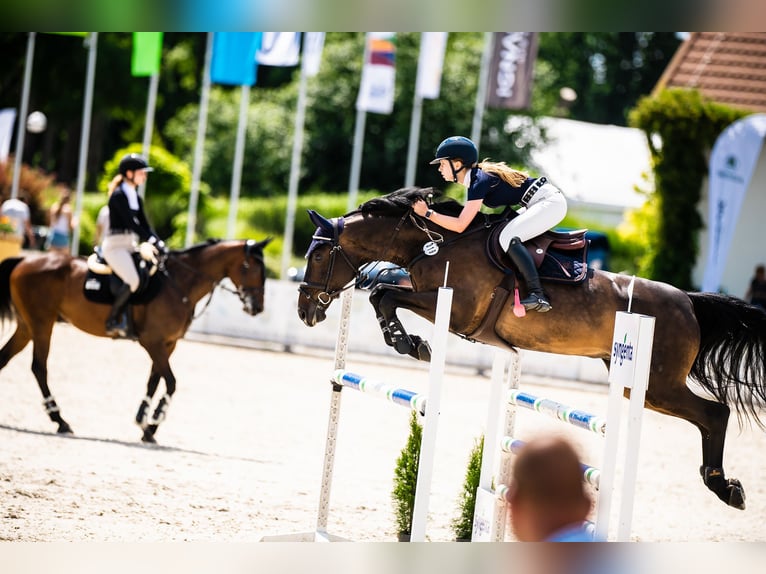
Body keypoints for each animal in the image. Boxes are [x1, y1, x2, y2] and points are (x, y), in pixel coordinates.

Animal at [0, 236, 272, 444]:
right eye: (252, 268)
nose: (257, 307)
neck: (179, 284)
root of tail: (25, 259)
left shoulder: (167, 344)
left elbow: (154, 381)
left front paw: (144, 423)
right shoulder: (152, 342)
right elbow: (171, 382)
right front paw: (154, 421)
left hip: (27, 326)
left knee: (5, 359)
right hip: (42, 324)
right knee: (39, 367)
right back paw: (60, 421)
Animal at [296, 189, 766, 512]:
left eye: (318, 255)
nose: (305, 311)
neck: (434, 243)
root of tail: (688, 301)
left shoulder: (456, 309)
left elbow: (385, 295)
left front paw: (410, 343)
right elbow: (383, 291)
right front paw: (408, 341)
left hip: (657, 383)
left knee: (715, 413)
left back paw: (726, 487)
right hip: (641, 388)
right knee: (706, 416)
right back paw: (724, 485)